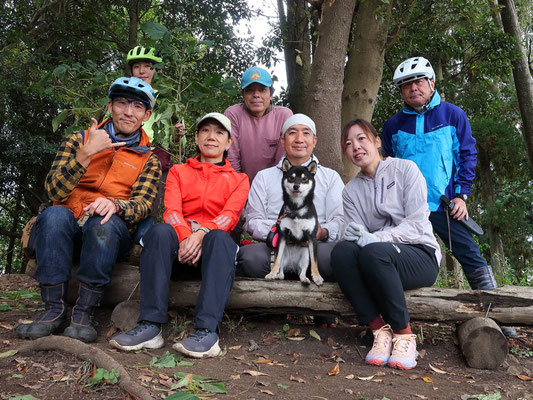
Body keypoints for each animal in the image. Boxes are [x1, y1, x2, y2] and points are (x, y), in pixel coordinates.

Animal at [264, 158, 322, 286]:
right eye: (291, 178)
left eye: (304, 179)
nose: (296, 186)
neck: (296, 208)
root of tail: (292, 267)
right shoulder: (282, 235)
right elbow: (276, 260)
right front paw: (272, 273)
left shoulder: (312, 237)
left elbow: (315, 261)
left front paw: (317, 276)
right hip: (284, 255)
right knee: (281, 269)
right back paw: (278, 276)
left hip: (305, 257)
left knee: (302, 272)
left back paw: (305, 279)